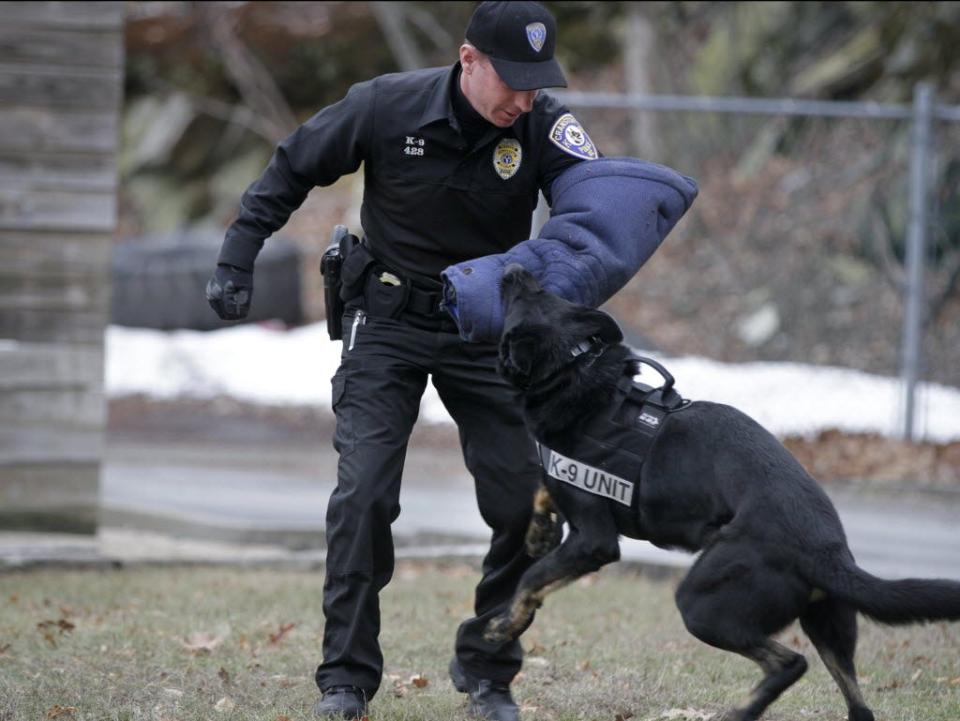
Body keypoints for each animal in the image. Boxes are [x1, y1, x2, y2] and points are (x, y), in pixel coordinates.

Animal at [484, 264, 960, 720]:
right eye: (543, 291)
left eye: (523, 300)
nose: (513, 268)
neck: (574, 367)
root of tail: (827, 551)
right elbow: (542, 492)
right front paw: (538, 533)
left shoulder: (594, 542)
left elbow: (531, 578)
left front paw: (504, 626)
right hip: (828, 626)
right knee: (858, 704)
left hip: (702, 603)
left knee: (789, 662)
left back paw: (740, 712)